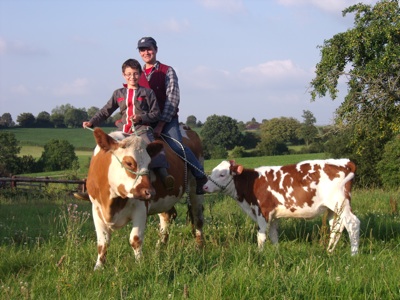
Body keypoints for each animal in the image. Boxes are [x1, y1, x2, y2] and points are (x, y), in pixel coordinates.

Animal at [88, 126, 206, 270]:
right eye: (129, 162)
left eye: (150, 163)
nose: (150, 192)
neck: (112, 201)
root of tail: (187, 129)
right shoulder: (96, 209)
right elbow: (102, 242)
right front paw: (98, 267)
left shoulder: (140, 209)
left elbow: (135, 239)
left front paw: (139, 264)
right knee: (168, 217)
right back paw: (159, 248)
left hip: (195, 188)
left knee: (198, 218)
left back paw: (199, 247)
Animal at [203, 158, 360, 254]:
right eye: (214, 171)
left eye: (222, 174)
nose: (204, 186)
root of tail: (344, 162)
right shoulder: (273, 215)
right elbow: (273, 235)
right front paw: (276, 253)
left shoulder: (263, 212)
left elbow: (261, 236)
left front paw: (259, 254)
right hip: (334, 209)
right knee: (336, 227)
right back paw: (329, 251)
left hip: (340, 203)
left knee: (353, 223)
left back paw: (354, 254)